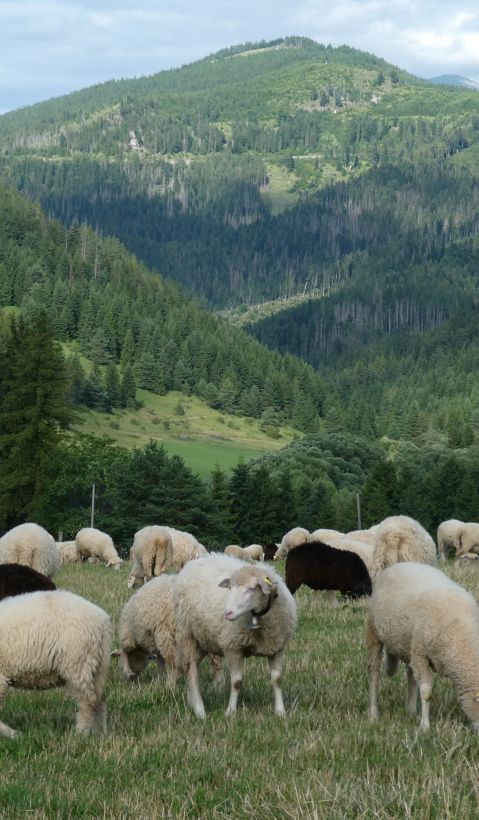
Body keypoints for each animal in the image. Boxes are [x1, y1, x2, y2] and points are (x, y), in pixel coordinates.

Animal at [0, 589, 111, 738]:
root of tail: (103, 621)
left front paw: (11, 734)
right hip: (98, 667)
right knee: (100, 699)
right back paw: (100, 733)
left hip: (79, 662)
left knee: (88, 701)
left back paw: (80, 734)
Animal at [175, 554, 297, 718]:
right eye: (230, 588)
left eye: (251, 588)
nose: (227, 613)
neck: (257, 617)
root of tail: (194, 562)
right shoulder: (233, 647)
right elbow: (236, 682)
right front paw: (230, 711)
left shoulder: (277, 647)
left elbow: (277, 679)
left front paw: (280, 711)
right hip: (187, 635)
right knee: (192, 671)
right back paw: (200, 711)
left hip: (203, 639)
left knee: (189, 670)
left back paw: (191, 702)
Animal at [366, 562, 479, 731]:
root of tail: (400, 564)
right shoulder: (421, 653)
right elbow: (426, 692)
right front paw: (425, 726)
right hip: (374, 632)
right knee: (374, 674)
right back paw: (373, 714)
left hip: (407, 645)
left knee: (410, 673)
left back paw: (411, 710)